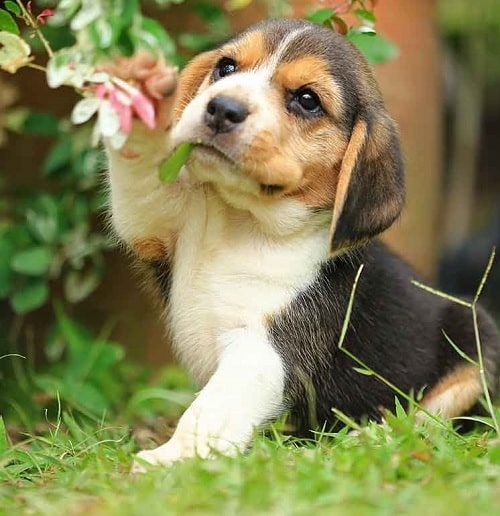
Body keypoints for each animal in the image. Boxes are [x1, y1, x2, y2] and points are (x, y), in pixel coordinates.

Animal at [103, 19, 498, 472]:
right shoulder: (159, 222)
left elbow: (212, 408)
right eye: (226, 67)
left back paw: (370, 438)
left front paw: (172, 457)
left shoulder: (264, 351)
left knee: (430, 420)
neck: (246, 222)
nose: (223, 108)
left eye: (307, 100)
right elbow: (143, 185)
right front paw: (140, 93)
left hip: (478, 343)